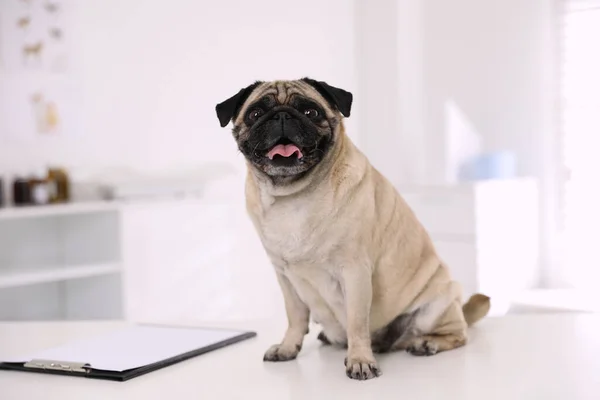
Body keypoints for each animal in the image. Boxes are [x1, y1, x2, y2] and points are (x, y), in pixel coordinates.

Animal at [216, 79, 492, 382]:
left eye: (311, 112)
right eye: (255, 114)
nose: (282, 116)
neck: (294, 195)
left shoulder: (355, 272)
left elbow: (357, 322)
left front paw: (360, 360)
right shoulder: (285, 278)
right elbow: (295, 317)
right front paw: (288, 347)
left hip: (438, 304)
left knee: (457, 334)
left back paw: (427, 342)